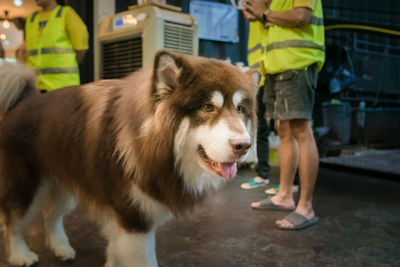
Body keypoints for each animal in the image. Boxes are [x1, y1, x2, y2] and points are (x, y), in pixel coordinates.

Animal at [0, 51, 256, 266]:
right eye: (207, 107)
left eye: (241, 109)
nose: (244, 146)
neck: (148, 142)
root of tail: (23, 102)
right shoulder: (134, 220)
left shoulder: (124, 222)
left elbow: (116, 251)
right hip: (25, 188)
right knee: (13, 223)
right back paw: (20, 254)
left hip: (66, 184)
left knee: (49, 215)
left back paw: (61, 247)